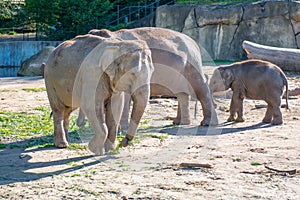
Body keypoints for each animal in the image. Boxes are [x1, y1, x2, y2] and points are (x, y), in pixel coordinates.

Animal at [86, 27, 218, 126]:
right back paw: (178, 122)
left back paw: (207, 123)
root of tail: (195, 43)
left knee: (200, 86)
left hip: (192, 63)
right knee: (181, 92)